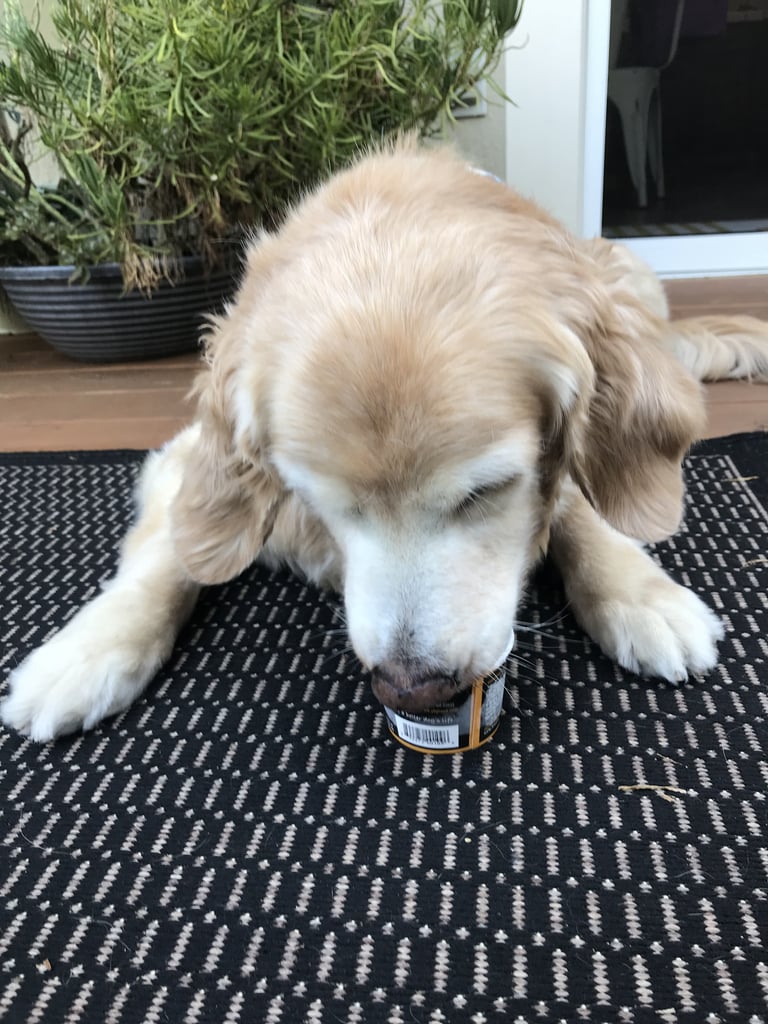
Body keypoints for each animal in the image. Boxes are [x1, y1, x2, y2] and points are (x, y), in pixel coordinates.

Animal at [1, 140, 768, 741]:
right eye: (314, 498)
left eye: (487, 491)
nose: (411, 688)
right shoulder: (184, 457)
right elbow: (171, 553)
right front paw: (84, 654)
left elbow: (580, 506)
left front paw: (643, 594)